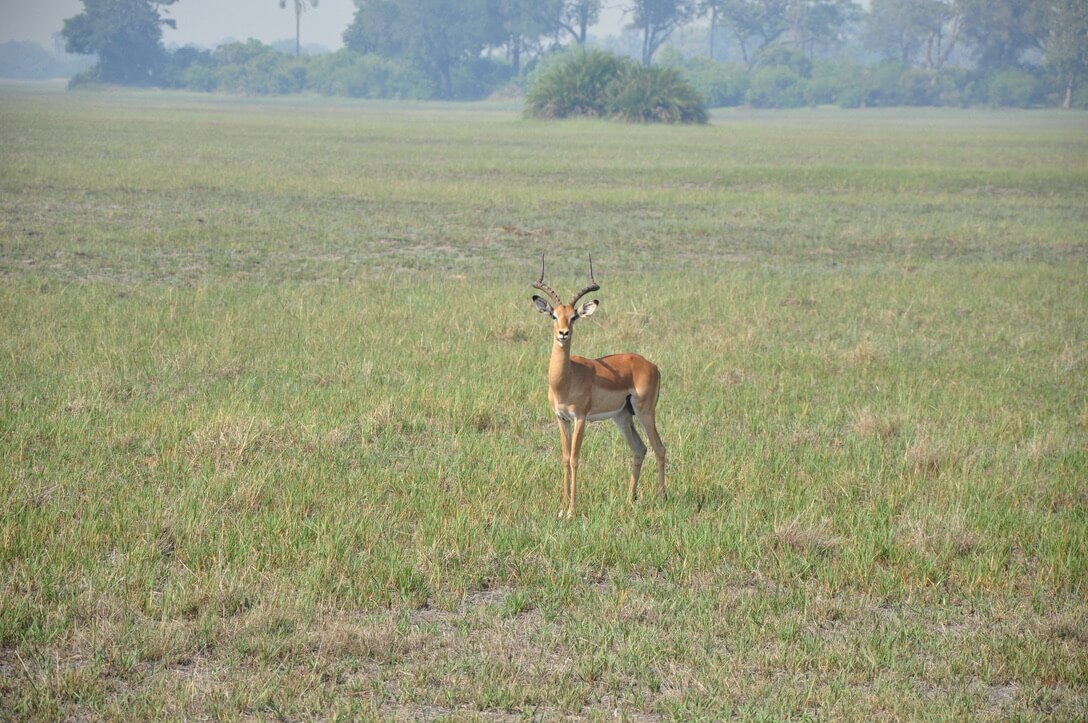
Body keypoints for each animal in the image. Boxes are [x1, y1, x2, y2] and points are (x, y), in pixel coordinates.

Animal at [531, 254, 666, 517]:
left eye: (574, 316)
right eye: (554, 315)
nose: (563, 333)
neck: (567, 378)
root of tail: (652, 365)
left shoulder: (581, 418)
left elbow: (575, 459)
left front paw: (572, 510)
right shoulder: (561, 418)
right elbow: (564, 458)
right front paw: (561, 507)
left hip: (645, 412)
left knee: (659, 448)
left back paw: (663, 498)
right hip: (622, 416)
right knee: (639, 449)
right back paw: (629, 500)